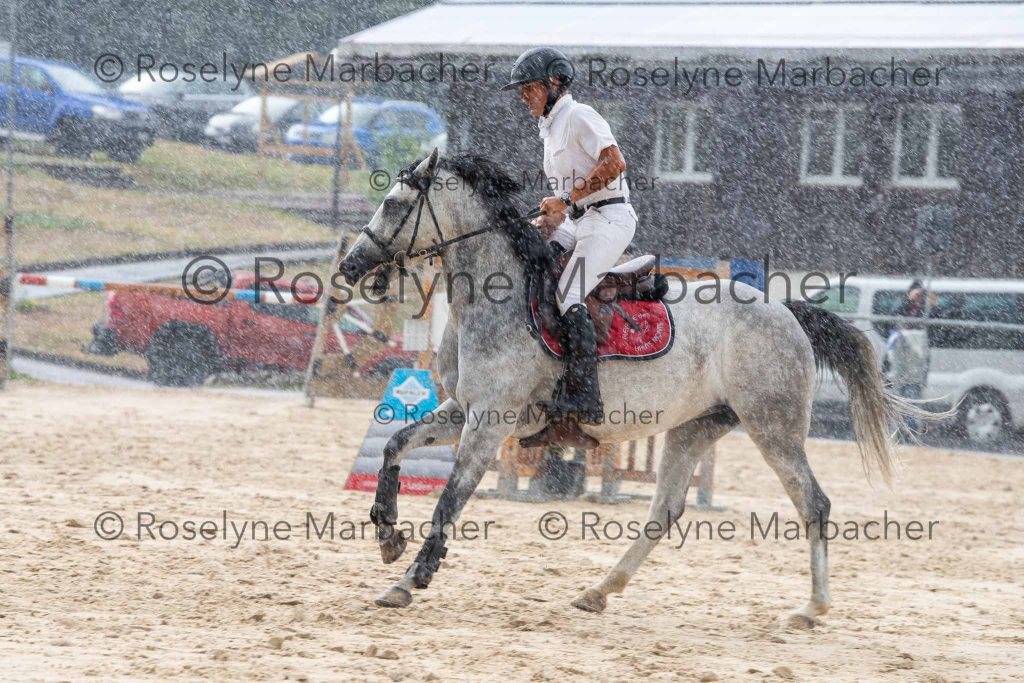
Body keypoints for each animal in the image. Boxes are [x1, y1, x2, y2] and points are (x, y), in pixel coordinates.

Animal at [338, 149, 930, 625]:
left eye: (393, 203)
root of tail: (785, 311)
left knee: (814, 503)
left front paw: (410, 578)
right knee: (664, 511)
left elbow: (450, 499)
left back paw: (813, 607)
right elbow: (394, 446)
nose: (349, 266)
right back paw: (599, 591)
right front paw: (388, 535)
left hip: (773, 427)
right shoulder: (462, 410)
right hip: (696, 427)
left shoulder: (491, 422)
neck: (492, 298)